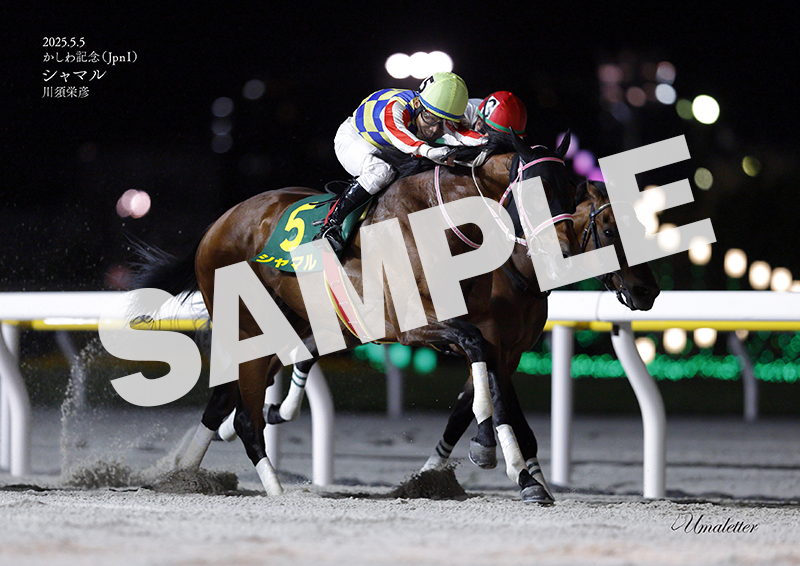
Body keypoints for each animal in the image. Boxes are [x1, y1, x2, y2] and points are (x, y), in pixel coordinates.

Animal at [131, 130, 581, 500]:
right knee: (244, 415)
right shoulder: (412, 325)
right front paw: (497, 455)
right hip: (248, 324)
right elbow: (478, 354)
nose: (565, 250)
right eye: (538, 189)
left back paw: (184, 474)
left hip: (284, 322)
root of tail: (218, 225)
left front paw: (519, 472)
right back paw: (273, 488)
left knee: (227, 401)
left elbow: (483, 370)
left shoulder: (493, 340)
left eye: (574, 189)